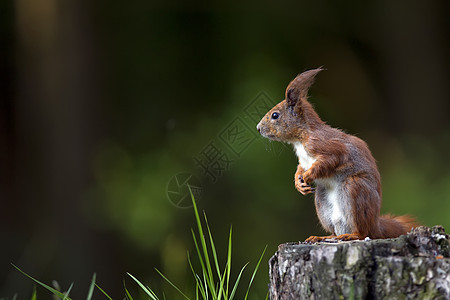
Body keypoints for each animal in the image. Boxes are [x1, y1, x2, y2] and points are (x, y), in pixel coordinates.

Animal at [256, 67, 414, 241]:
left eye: (275, 115)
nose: (258, 128)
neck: (300, 139)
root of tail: (375, 225)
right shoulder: (303, 160)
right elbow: (299, 168)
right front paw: (298, 183)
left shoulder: (327, 146)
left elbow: (330, 160)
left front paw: (308, 176)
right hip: (322, 201)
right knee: (333, 231)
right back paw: (321, 237)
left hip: (354, 188)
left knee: (362, 232)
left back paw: (351, 235)